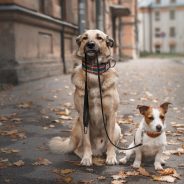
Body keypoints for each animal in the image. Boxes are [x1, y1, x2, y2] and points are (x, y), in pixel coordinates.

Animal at [48, 29, 121, 165]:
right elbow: (86, 142)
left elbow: (110, 142)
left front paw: (111, 157)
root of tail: (97, 150)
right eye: (85, 38)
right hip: (78, 127)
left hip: (117, 128)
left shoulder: (111, 114)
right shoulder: (83, 114)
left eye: (99, 38)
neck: (94, 72)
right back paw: (85, 154)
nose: (90, 44)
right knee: (77, 148)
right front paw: (87, 158)